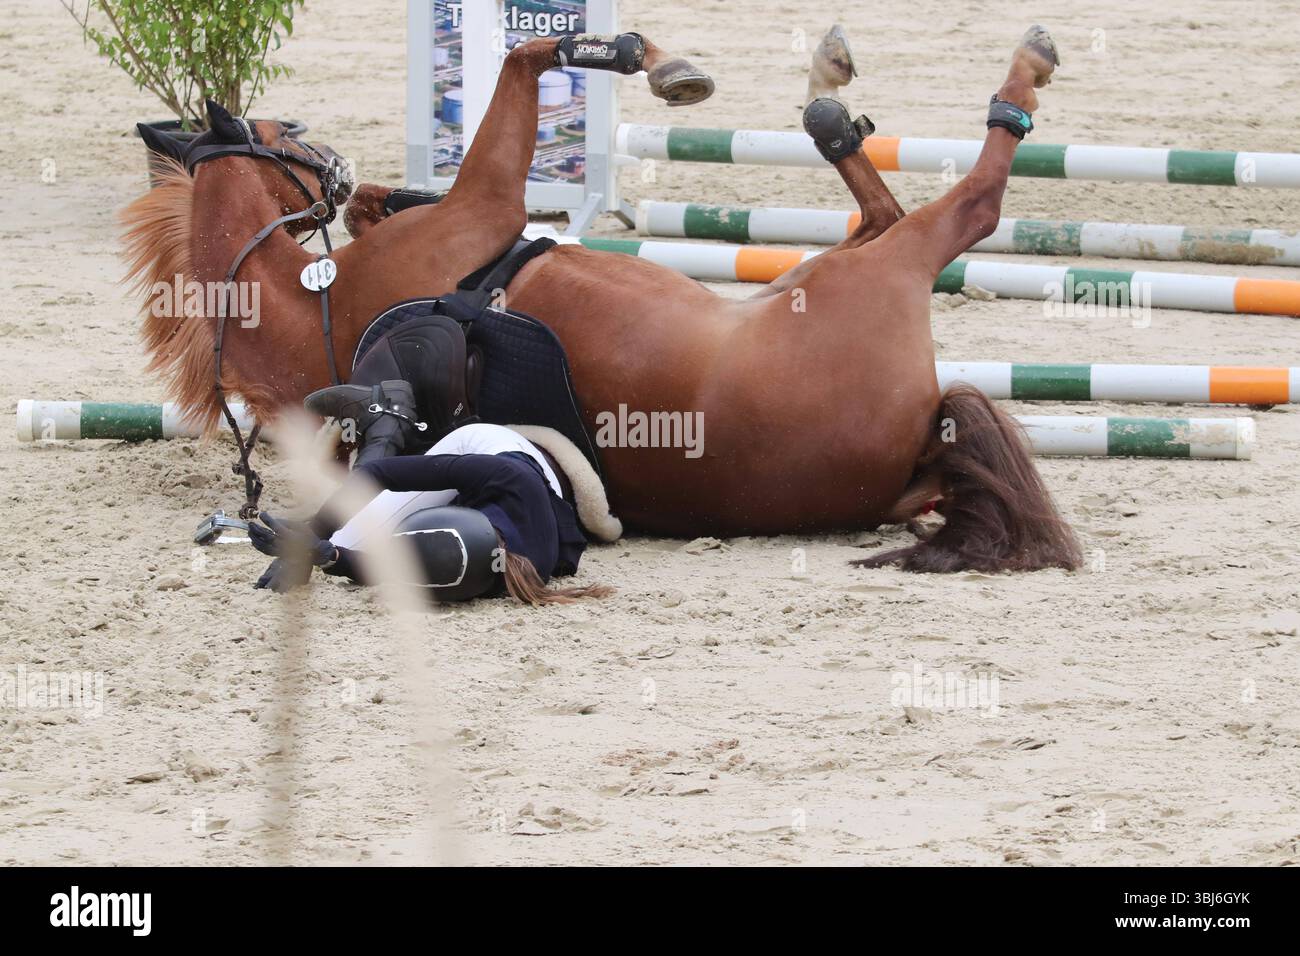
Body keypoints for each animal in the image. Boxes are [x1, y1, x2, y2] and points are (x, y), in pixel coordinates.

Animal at [121, 26, 1080, 573]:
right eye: (282, 131)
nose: (335, 166)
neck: (311, 307)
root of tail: (928, 436)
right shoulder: (487, 204)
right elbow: (525, 54)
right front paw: (643, 60)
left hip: (815, 273)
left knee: (881, 207)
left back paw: (833, 107)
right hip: (870, 276)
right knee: (960, 209)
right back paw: (1005, 74)